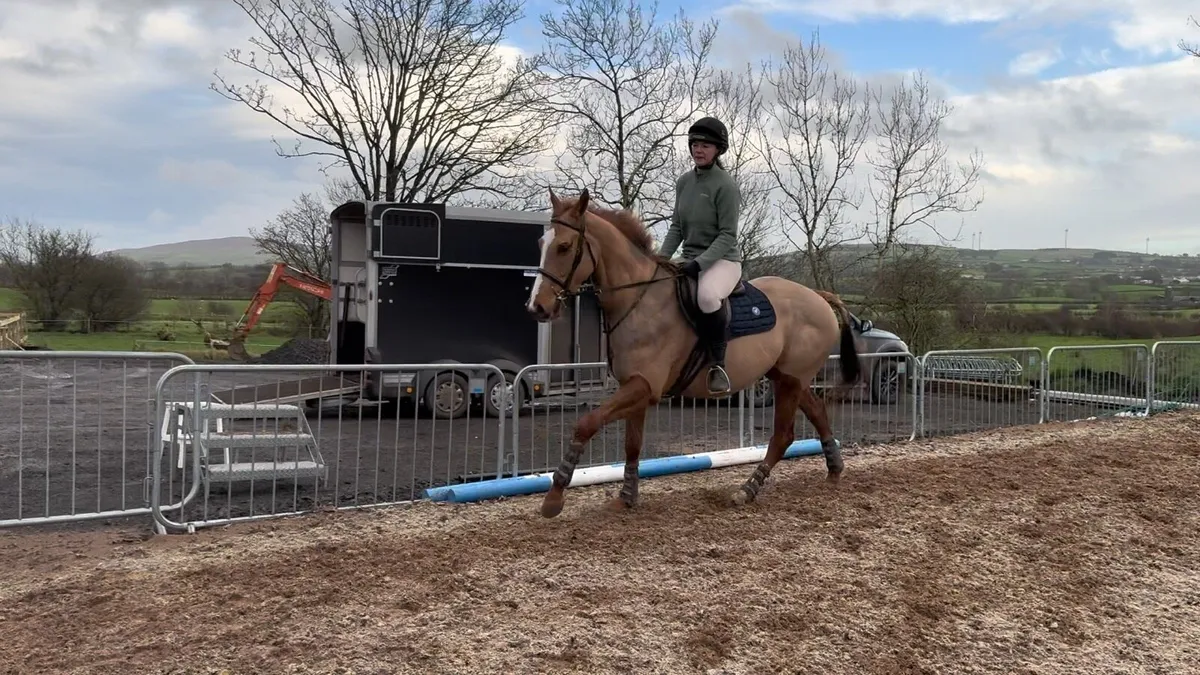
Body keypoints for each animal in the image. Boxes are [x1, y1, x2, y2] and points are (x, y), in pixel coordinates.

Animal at [525, 188, 862, 518]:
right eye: (541, 244)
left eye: (565, 247)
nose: (537, 307)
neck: (639, 300)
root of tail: (818, 296)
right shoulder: (634, 386)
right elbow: (632, 444)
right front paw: (626, 498)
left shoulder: (643, 387)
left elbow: (586, 423)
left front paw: (554, 498)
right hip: (787, 376)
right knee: (818, 412)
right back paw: (834, 470)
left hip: (791, 380)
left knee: (782, 436)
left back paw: (747, 490)